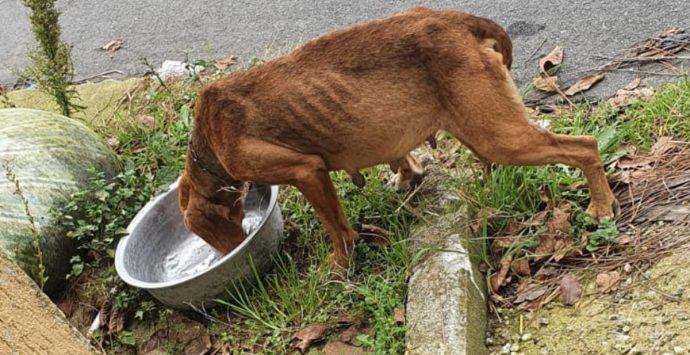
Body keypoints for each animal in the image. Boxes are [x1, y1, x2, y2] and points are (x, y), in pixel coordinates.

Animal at [176, 7, 612, 272]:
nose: (229, 256)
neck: (207, 142)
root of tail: (461, 19)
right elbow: (402, 157)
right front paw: (407, 176)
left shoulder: (308, 171)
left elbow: (336, 228)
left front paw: (340, 265)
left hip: (499, 138)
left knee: (585, 146)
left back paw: (602, 205)